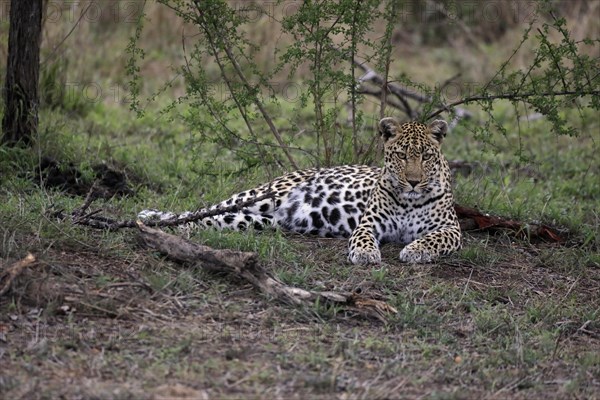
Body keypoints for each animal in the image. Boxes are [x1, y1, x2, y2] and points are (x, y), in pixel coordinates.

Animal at [138, 117, 462, 264]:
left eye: (426, 156)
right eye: (402, 156)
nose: (413, 181)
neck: (409, 201)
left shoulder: (451, 229)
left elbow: (433, 239)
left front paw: (415, 250)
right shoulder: (369, 223)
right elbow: (364, 238)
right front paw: (365, 254)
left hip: (257, 220)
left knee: (211, 219)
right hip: (262, 197)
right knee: (205, 209)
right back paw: (152, 217)